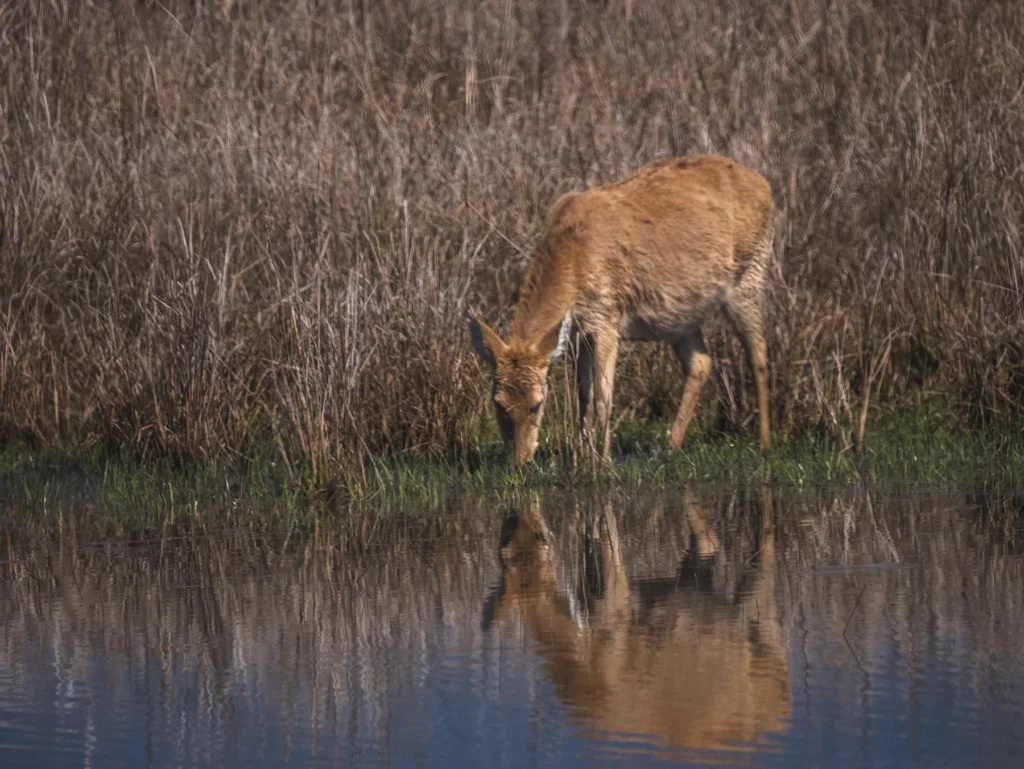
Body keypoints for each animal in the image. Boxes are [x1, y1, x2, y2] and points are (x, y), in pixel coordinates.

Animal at [468, 155, 773, 466]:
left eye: (537, 404)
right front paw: (583, 456)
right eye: (498, 403)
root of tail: (764, 185)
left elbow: (603, 397)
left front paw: (604, 462)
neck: (573, 262)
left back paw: (764, 442)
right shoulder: (579, 333)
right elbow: (583, 397)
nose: (520, 460)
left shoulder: (606, 320)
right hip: (680, 318)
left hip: (750, 275)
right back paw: (670, 447)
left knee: (758, 352)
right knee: (701, 362)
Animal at [482, 491, 789, 755]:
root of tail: (784, 704)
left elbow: (608, 531)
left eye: (540, 535)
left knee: (766, 555)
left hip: (760, 618)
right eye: (504, 538)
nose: (519, 512)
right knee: (708, 541)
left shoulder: (616, 603)